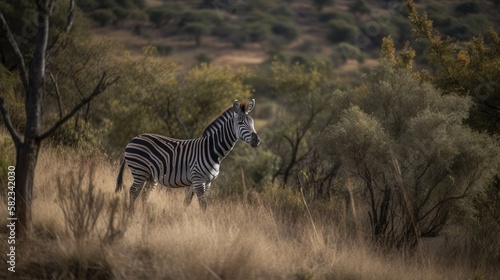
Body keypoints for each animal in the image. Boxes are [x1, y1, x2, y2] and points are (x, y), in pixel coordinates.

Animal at [116, 98, 262, 210]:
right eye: (240, 122)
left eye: (252, 122)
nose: (257, 140)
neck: (212, 150)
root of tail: (133, 139)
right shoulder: (198, 181)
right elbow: (203, 205)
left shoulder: (206, 183)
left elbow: (187, 202)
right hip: (139, 170)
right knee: (133, 192)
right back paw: (131, 214)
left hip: (151, 175)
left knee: (144, 194)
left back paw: (144, 214)